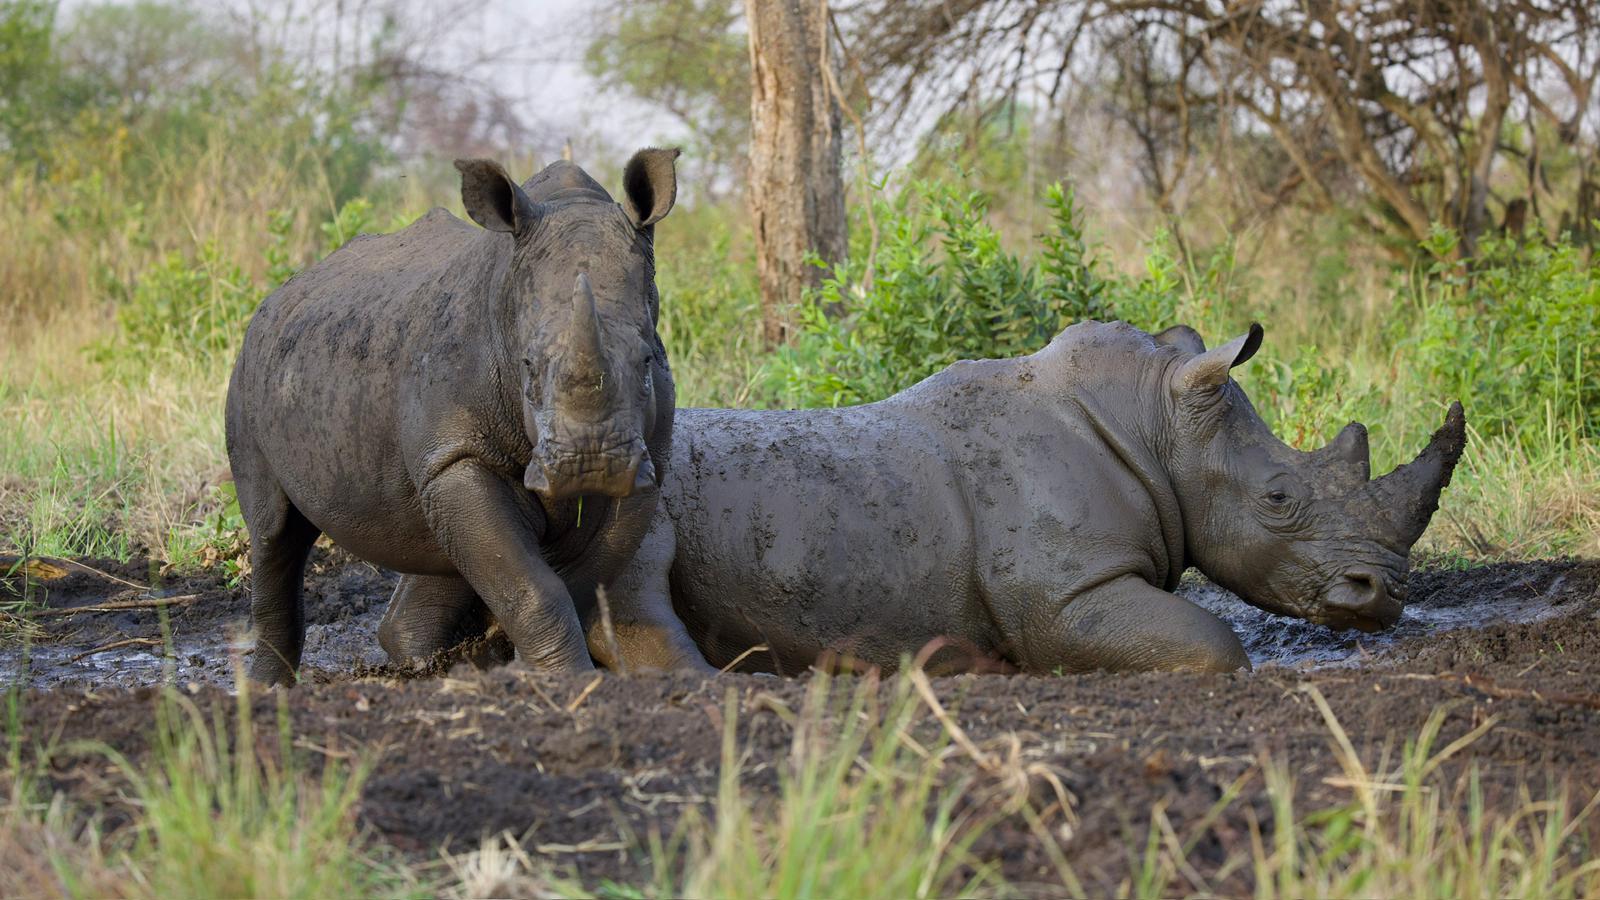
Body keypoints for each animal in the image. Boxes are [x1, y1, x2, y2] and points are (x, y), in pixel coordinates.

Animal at [226, 149, 681, 685]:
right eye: (528, 365)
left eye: (646, 361)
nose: (590, 462)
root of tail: (280, 292)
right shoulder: (456, 455)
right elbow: (533, 586)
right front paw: (561, 680)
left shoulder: (649, 461)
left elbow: (578, 578)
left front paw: (521, 665)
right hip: (248, 369)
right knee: (274, 532)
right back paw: (267, 690)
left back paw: (424, 665)